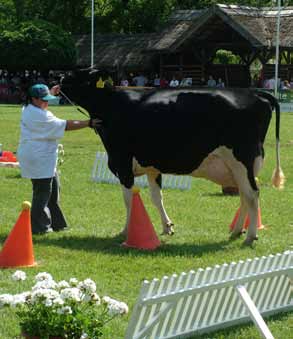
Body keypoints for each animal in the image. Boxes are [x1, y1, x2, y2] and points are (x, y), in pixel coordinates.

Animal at [61, 70, 282, 247]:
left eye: (80, 75)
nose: (60, 78)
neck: (112, 105)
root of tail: (253, 93)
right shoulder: (151, 167)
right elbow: (156, 196)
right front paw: (167, 227)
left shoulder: (122, 164)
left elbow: (128, 200)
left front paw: (126, 231)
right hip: (241, 166)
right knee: (245, 194)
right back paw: (237, 230)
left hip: (241, 160)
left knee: (252, 194)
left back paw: (250, 236)